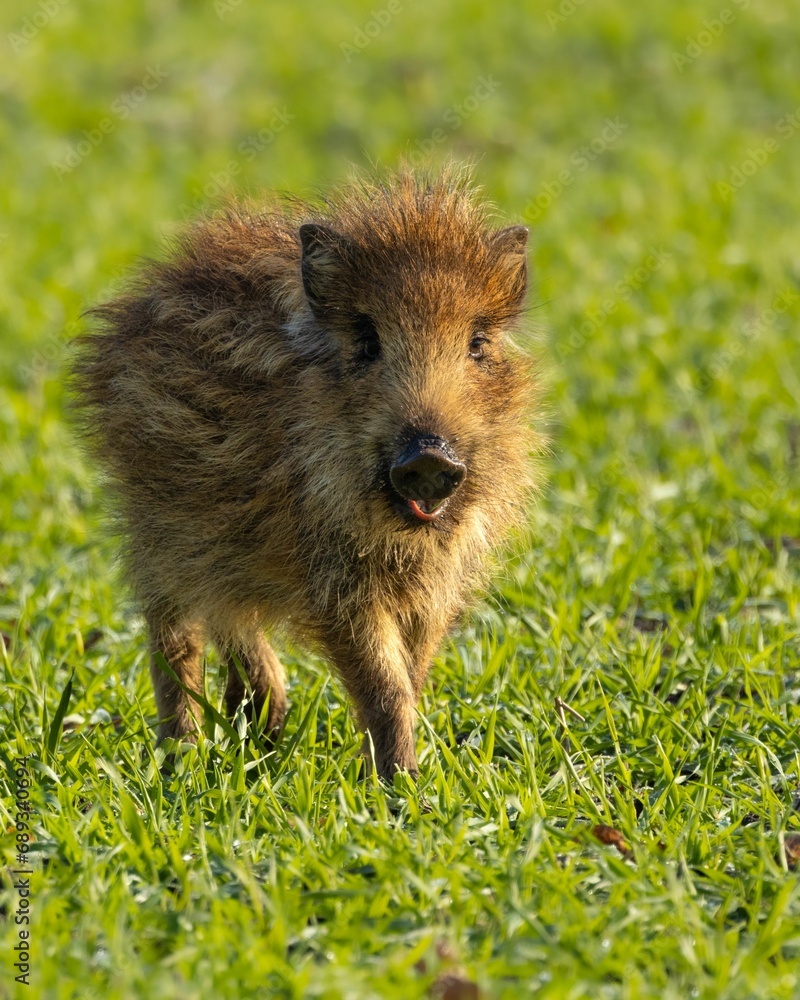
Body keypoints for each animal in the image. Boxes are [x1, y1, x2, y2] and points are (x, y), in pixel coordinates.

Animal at [71, 167, 542, 781]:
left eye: (477, 342)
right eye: (366, 341)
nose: (429, 458)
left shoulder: (436, 583)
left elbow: (410, 675)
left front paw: (393, 777)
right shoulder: (334, 583)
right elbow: (383, 684)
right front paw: (402, 785)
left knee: (231, 618)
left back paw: (261, 729)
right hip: (155, 531)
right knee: (175, 640)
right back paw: (184, 758)